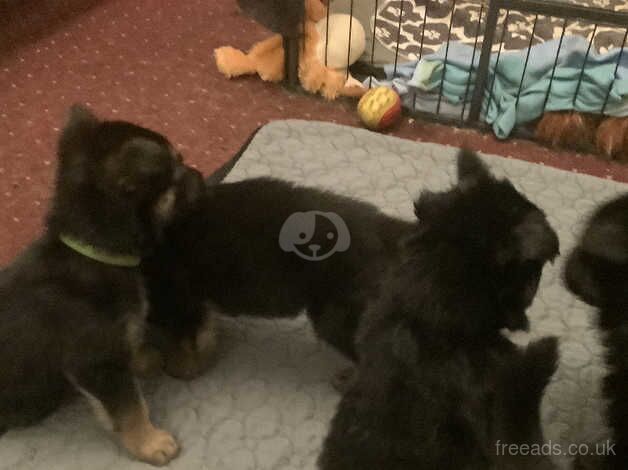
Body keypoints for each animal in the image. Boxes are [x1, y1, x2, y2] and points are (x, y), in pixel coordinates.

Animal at [0, 104, 202, 464]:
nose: (200, 175)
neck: (95, 253)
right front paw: (151, 443)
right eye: (173, 179)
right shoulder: (95, 361)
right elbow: (129, 408)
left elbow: (131, 350)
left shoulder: (112, 348)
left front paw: (143, 359)